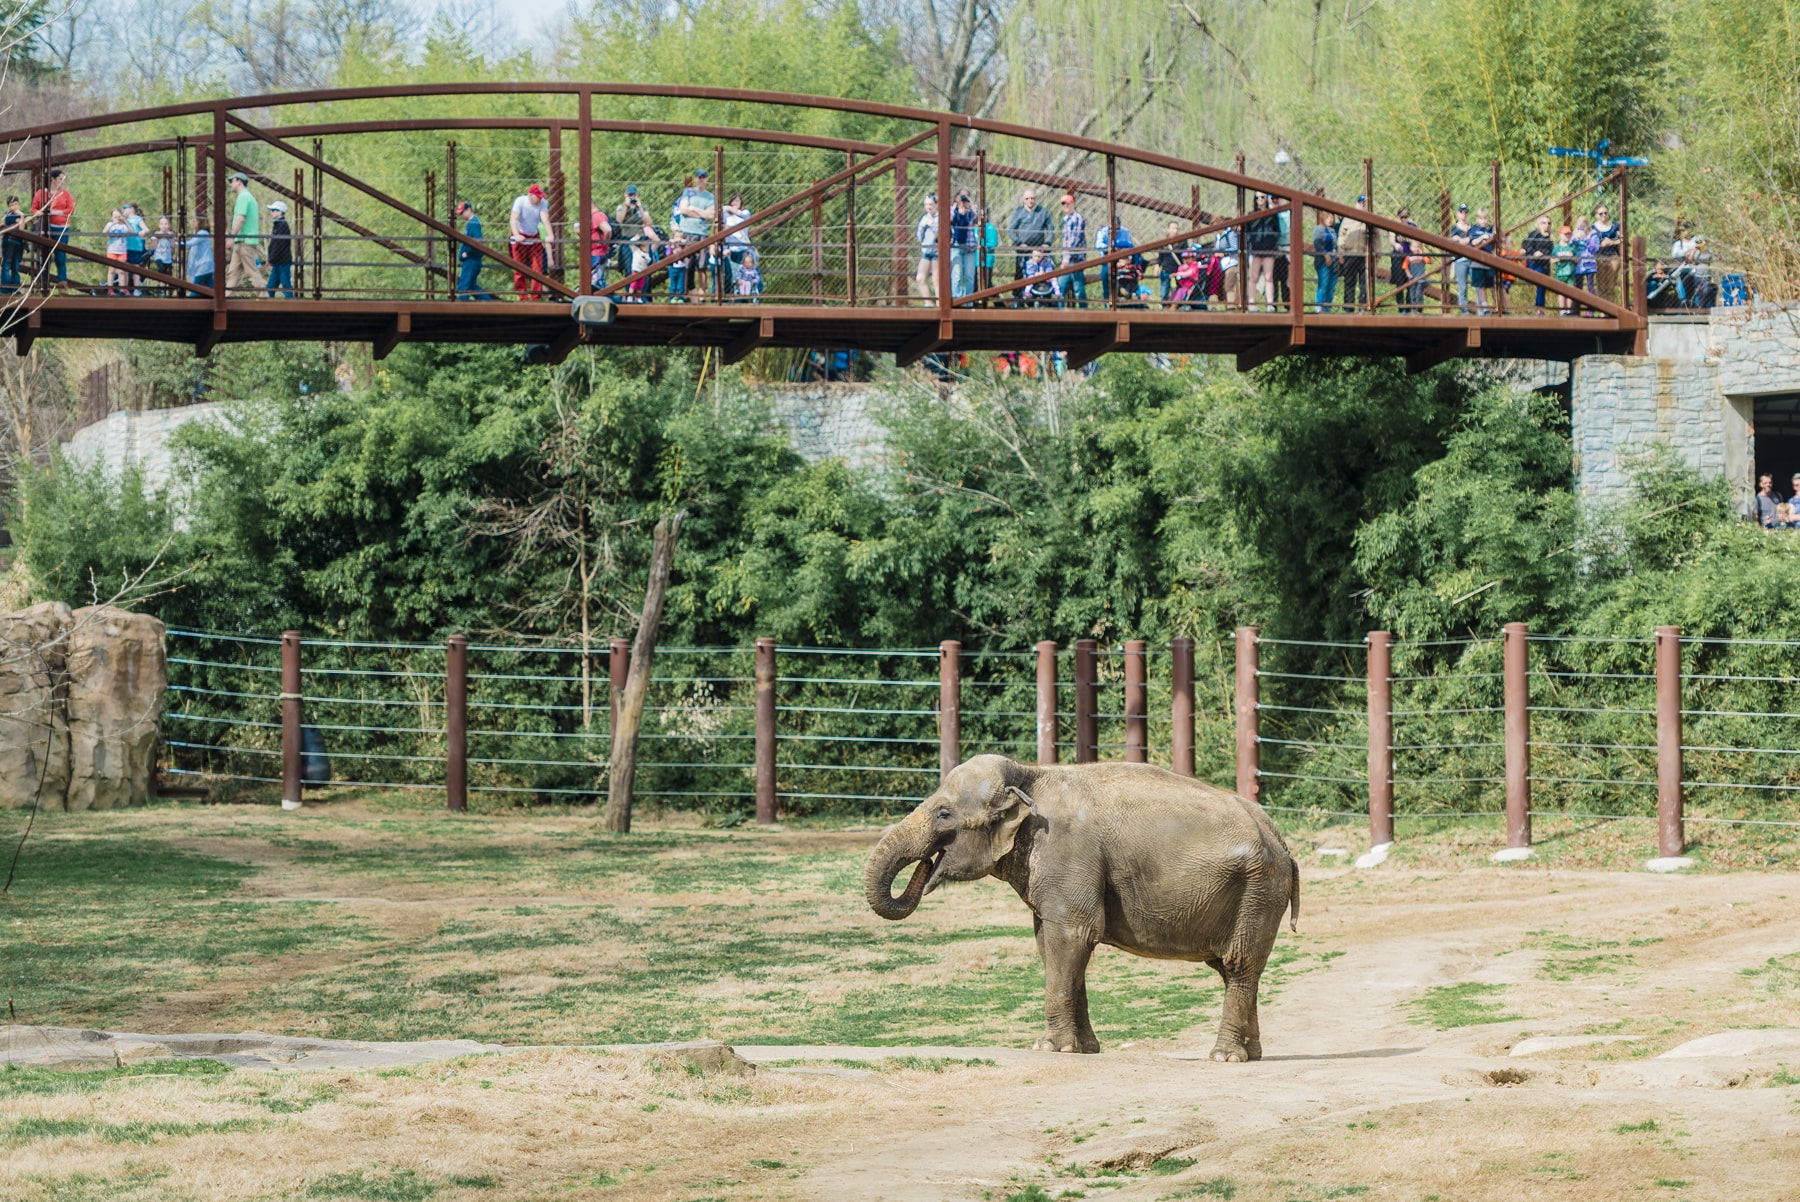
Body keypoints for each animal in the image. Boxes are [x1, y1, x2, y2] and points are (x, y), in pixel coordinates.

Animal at [863, 754, 1298, 1061]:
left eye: (943, 814)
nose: (926, 865)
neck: (1030, 774)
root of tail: (1282, 842)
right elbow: (1051, 941)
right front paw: (1084, 1049)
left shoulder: (1067, 852)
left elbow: (1073, 934)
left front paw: (1049, 1048)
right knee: (1235, 970)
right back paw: (1251, 1054)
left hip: (1258, 891)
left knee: (1239, 965)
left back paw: (1224, 1057)